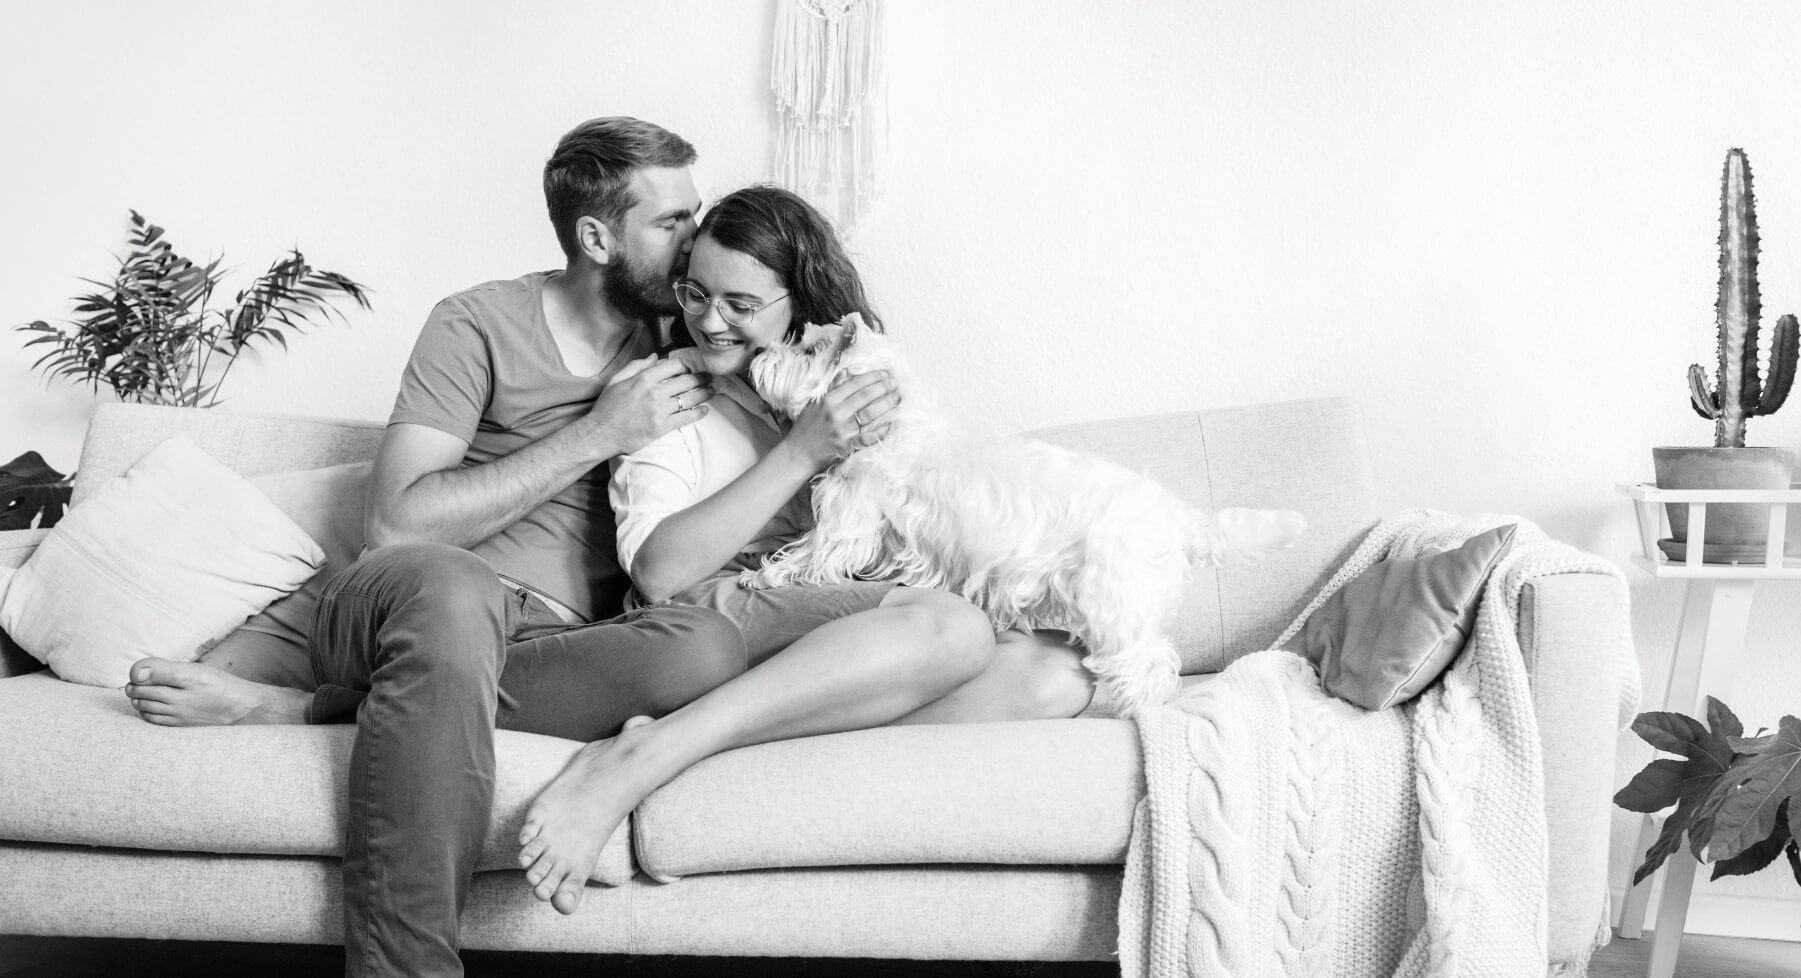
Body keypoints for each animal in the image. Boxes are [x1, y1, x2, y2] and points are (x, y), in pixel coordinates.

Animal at [698, 316, 1296, 716]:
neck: (896, 417)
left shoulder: (852, 514)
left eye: (806, 346)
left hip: (1117, 604)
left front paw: (762, 576)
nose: (759, 356)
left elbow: (811, 550)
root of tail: (1178, 519)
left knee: (1147, 665)